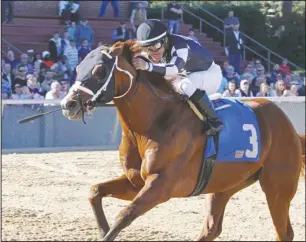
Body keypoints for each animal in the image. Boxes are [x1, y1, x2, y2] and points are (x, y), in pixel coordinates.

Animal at [59, 41, 304, 240]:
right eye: (78, 68)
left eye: (99, 70)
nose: (68, 104)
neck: (152, 124)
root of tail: (289, 127)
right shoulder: (135, 182)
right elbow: (95, 191)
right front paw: (102, 228)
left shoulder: (161, 185)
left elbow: (123, 216)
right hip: (226, 184)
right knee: (212, 229)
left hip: (277, 187)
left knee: (284, 232)